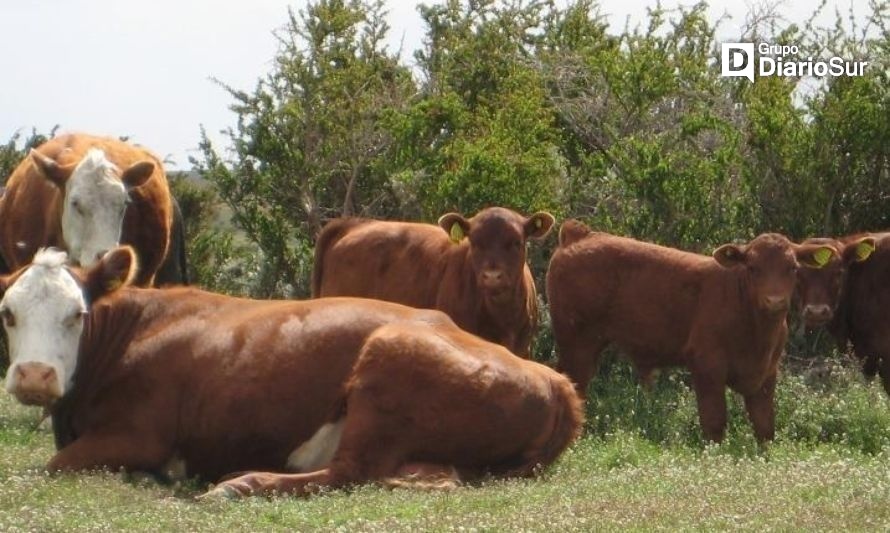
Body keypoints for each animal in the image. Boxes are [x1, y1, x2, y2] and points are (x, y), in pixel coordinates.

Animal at [1, 247, 584, 496]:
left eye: (76, 314)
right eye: (7, 312)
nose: (33, 376)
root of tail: (553, 379)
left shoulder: (137, 434)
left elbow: (47, 467)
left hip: (387, 364)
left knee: (346, 473)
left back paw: (239, 484)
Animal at [308, 208, 552, 358]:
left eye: (516, 242)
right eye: (475, 242)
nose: (492, 276)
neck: (501, 317)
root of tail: (353, 225)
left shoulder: (523, 348)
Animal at [544, 220, 836, 440]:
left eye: (793, 267)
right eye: (753, 268)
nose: (774, 301)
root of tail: (579, 235)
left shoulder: (766, 374)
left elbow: (765, 426)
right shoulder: (707, 367)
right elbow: (714, 423)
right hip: (577, 345)